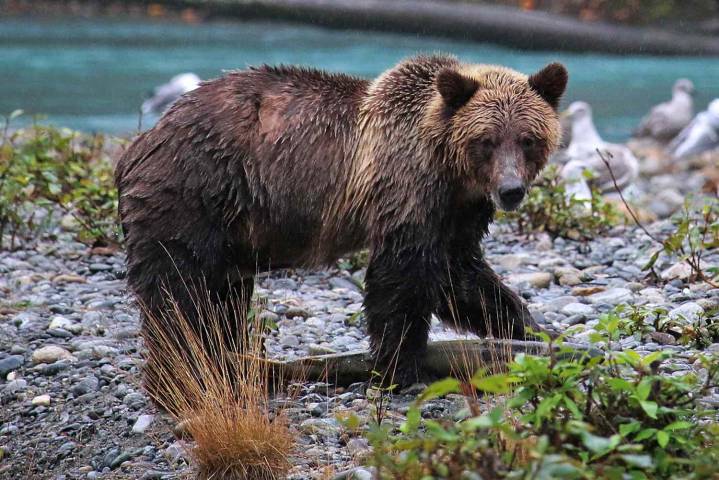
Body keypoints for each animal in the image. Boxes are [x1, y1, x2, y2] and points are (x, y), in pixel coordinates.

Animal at [115, 54, 567, 396]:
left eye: (527, 138)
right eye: (486, 140)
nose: (510, 190)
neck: (449, 170)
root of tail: (141, 142)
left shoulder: (459, 212)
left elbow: (461, 276)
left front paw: (532, 331)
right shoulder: (404, 188)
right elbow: (403, 276)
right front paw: (399, 369)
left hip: (229, 227)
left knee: (222, 298)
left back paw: (227, 363)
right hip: (194, 193)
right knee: (179, 292)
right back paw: (183, 375)